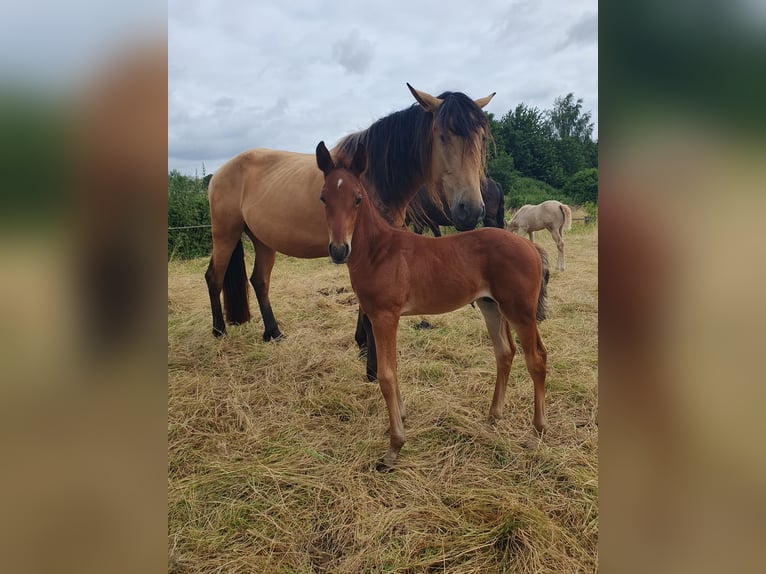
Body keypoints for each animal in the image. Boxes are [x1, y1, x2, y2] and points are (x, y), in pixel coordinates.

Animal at [204, 83, 496, 376]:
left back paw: (273, 333)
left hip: (263, 241)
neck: (370, 180)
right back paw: (219, 332)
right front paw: (373, 366)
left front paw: (363, 346)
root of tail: (220, 172)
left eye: (481, 138)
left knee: (260, 281)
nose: (471, 209)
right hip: (225, 233)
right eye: (443, 136)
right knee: (214, 277)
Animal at [318, 141, 552, 472]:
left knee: (537, 359)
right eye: (324, 197)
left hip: (520, 311)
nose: (338, 250)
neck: (378, 251)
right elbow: (393, 368)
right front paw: (401, 419)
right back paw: (493, 417)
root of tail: (531, 246)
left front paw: (394, 448)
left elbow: (385, 375)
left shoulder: (385, 316)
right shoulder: (380, 317)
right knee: (505, 352)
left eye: (357, 198)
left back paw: (536, 432)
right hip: (490, 306)